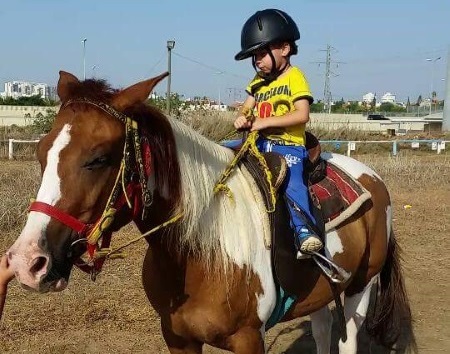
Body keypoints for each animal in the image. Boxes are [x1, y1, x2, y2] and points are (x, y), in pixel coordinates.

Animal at [7, 72, 416, 354]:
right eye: (41, 152)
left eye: (98, 158)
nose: (27, 261)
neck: (201, 250)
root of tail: (373, 178)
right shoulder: (177, 337)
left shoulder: (249, 339)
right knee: (321, 329)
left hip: (361, 287)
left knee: (347, 337)